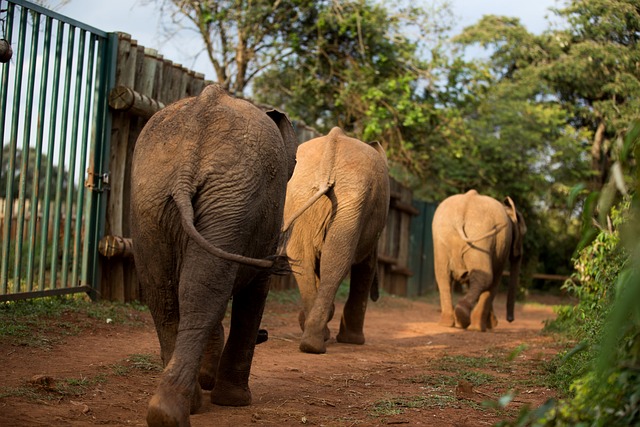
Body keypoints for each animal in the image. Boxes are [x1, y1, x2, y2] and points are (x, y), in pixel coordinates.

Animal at [131, 84, 300, 427]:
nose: (266, 335)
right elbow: (255, 293)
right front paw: (235, 402)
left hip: (155, 196)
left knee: (167, 295)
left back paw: (172, 410)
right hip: (231, 200)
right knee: (200, 293)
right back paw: (179, 410)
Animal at [280, 126, 390, 354]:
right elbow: (366, 266)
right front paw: (352, 341)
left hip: (302, 196)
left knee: (305, 259)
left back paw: (312, 342)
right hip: (352, 199)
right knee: (338, 259)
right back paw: (316, 342)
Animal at [432, 191, 528, 334]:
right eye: (524, 233)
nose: (510, 320)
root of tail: (462, 210)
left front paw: (490, 324)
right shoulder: (502, 245)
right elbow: (494, 281)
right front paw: (483, 327)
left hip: (443, 237)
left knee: (443, 276)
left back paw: (448, 323)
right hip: (480, 237)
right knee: (486, 278)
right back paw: (463, 320)